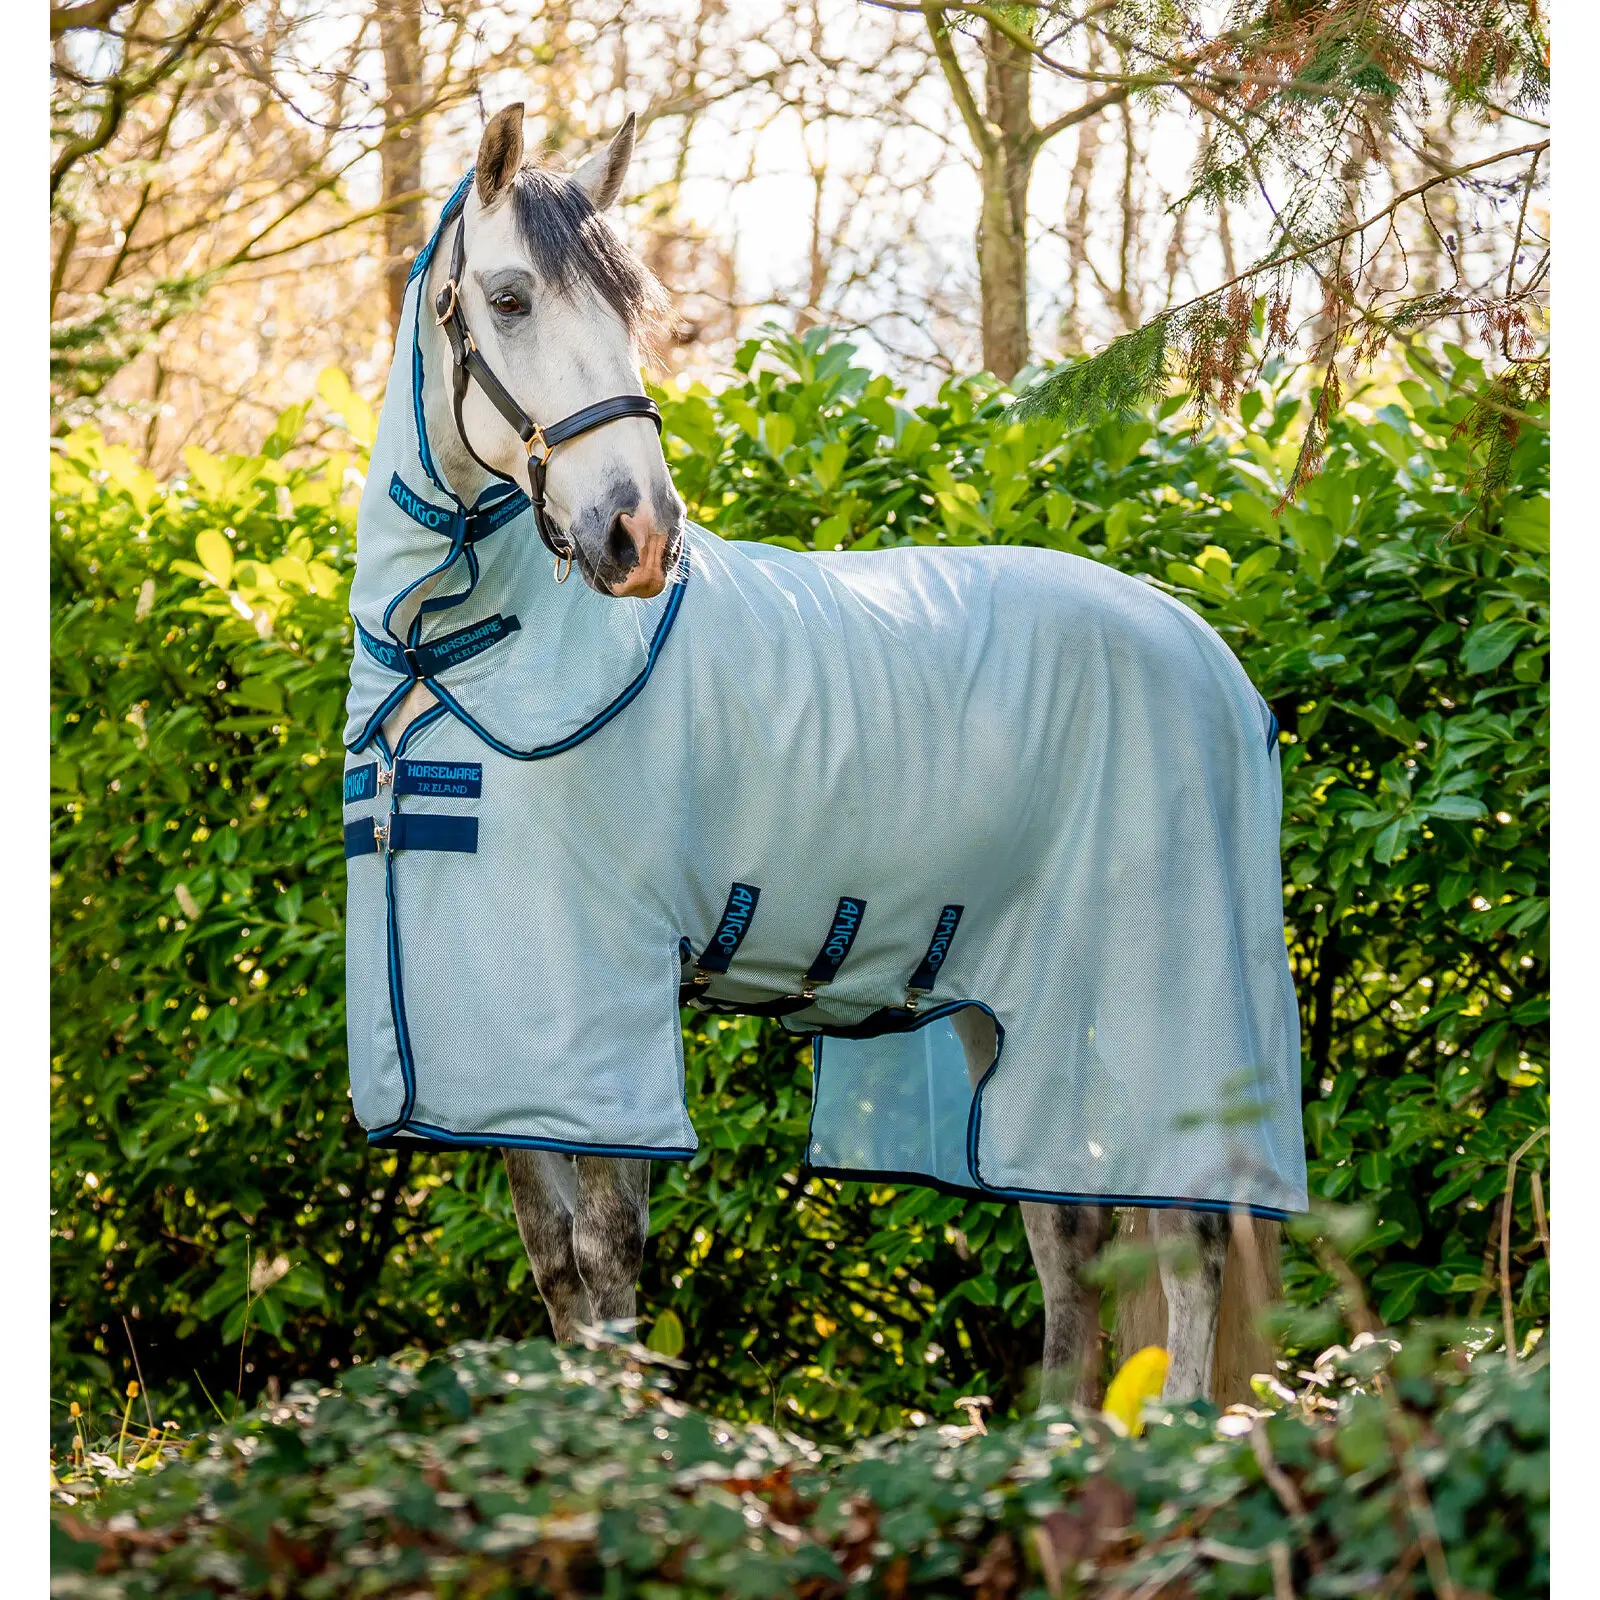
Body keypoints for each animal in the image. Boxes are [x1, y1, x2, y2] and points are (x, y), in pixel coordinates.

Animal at [349, 101, 1302, 1412]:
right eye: (507, 298)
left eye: (630, 309)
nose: (640, 533)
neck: (449, 661)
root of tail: (1207, 651)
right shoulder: (498, 1049)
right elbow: (556, 1263)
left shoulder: (605, 1018)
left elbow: (609, 1260)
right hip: (1013, 1015)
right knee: (1070, 1237)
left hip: (1164, 1014)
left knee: (1189, 1238)